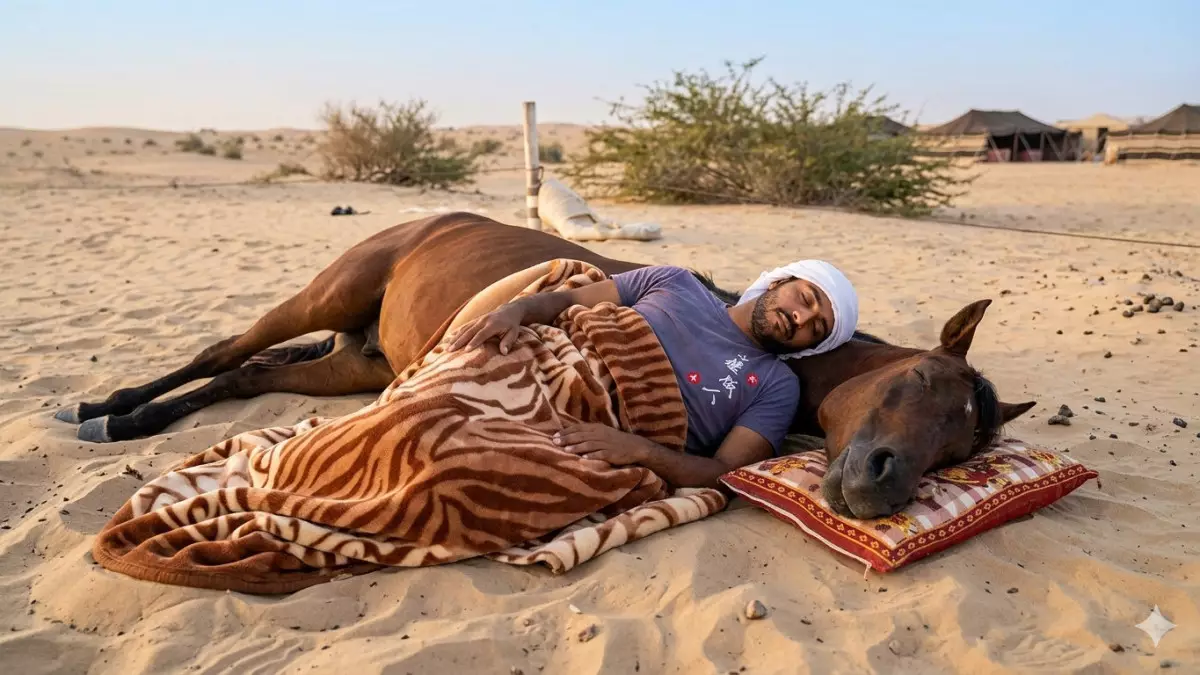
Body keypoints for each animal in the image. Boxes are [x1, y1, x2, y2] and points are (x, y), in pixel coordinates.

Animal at [54, 212, 1034, 519]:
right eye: (917, 379)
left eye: (960, 450)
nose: (880, 484)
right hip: (331, 295)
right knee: (225, 350)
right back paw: (108, 408)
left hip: (355, 365)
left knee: (248, 376)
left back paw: (127, 418)